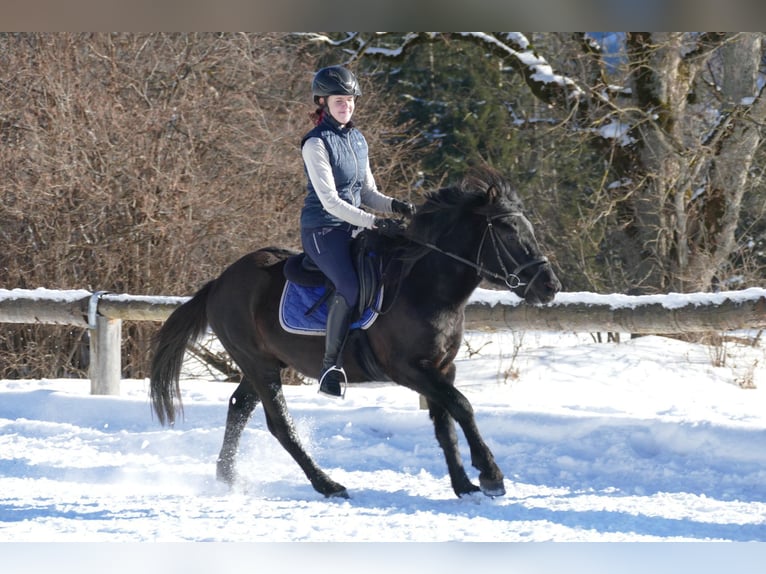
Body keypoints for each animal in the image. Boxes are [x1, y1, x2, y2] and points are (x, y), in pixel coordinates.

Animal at [150, 168, 560, 500]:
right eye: (509, 231)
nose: (550, 286)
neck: (424, 286)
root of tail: (218, 283)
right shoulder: (409, 369)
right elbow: (462, 406)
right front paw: (490, 475)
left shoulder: (443, 368)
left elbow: (445, 423)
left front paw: (464, 485)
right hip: (259, 364)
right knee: (279, 424)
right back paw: (328, 485)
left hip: (264, 364)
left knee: (239, 407)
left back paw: (228, 477)